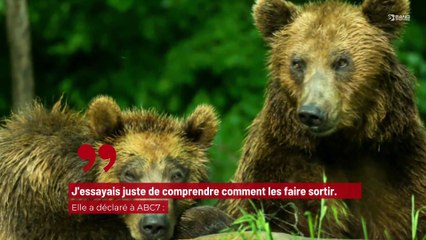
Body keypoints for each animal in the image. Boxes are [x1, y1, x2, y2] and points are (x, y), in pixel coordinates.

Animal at [221, 0, 426, 239]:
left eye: (342, 61)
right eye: (297, 63)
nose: (312, 113)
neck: (342, 143)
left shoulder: (397, 163)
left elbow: (405, 212)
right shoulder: (282, 161)